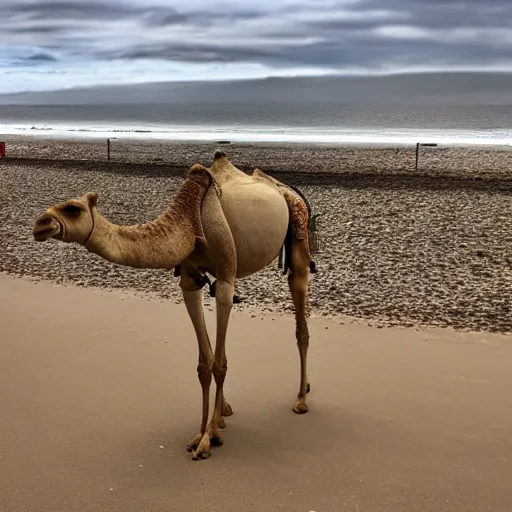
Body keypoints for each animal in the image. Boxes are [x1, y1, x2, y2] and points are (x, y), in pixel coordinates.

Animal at [32, 150, 314, 462]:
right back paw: (225, 413)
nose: (40, 224)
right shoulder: (189, 280)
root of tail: (284, 187)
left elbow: (219, 364)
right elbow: (205, 363)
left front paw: (207, 440)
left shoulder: (226, 279)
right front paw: (202, 434)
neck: (188, 217)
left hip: (297, 228)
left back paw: (301, 399)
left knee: (300, 313)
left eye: (73, 209)